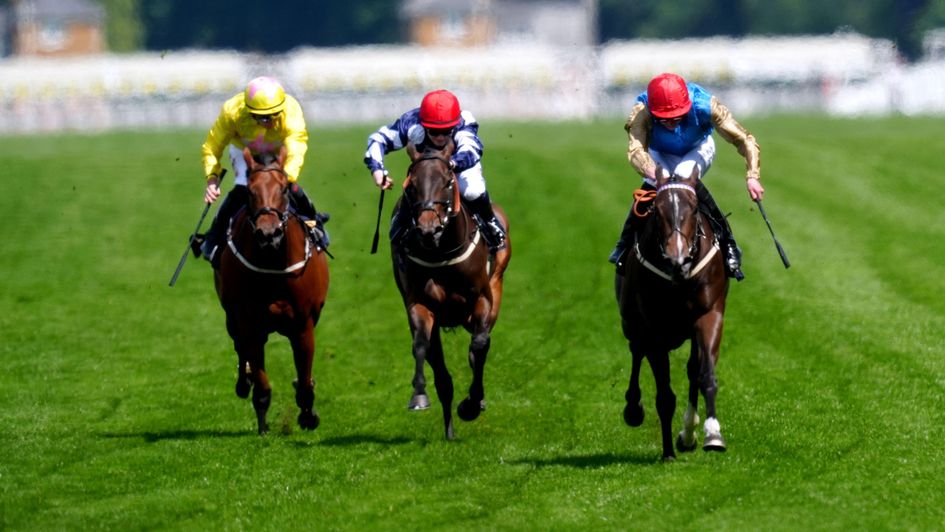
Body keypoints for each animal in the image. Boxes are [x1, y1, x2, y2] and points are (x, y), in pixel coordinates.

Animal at [212, 148, 330, 434]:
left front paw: (308, 415)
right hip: (232, 317)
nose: (269, 233)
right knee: (240, 347)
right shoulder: (248, 322)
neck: (273, 262)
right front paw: (263, 425)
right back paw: (244, 380)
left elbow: (305, 379)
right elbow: (262, 384)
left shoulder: (303, 325)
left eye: (285, 188)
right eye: (250, 191)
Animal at [390, 141, 512, 440]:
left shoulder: (482, 299)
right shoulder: (420, 304)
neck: (440, 253)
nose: (428, 228)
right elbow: (422, 346)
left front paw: (471, 404)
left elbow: (480, 345)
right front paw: (419, 396)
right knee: (440, 366)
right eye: (411, 186)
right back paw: (449, 429)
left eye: (447, 182)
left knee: (481, 344)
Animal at [620, 168, 732, 460]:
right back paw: (633, 409)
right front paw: (668, 452)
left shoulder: (709, 315)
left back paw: (689, 432)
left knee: (692, 368)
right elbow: (664, 396)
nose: (677, 260)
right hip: (632, 324)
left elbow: (705, 375)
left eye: (693, 209)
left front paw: (712, 434)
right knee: (636, 351)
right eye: (656, 211)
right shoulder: (653, 330)